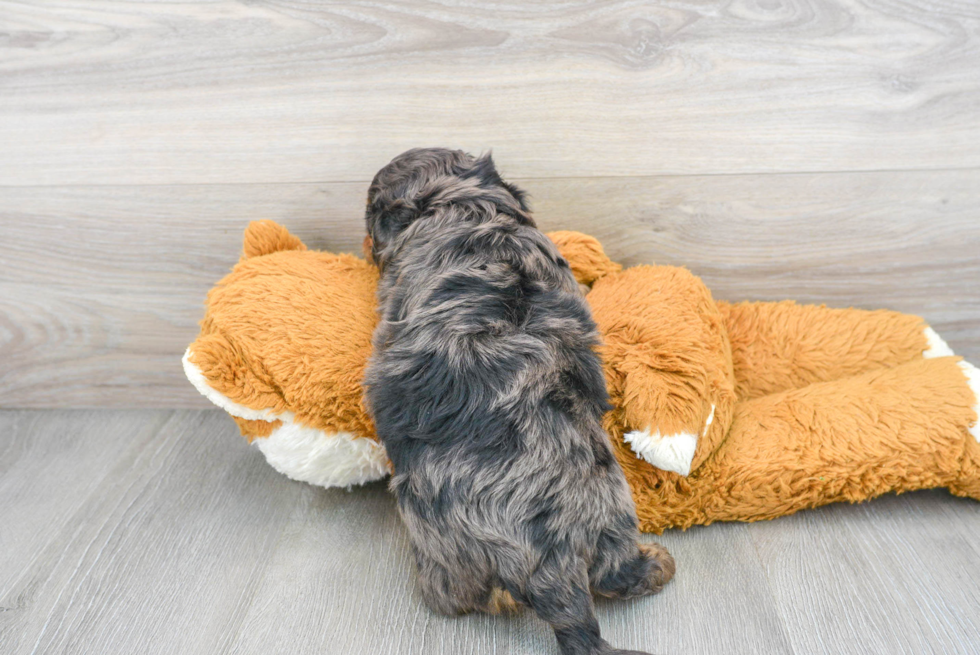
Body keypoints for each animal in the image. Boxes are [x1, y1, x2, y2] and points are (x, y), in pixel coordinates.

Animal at [364, 149, 676, 655]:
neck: (461, 207)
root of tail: (553, 572)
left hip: (443, 543)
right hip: (610, 511)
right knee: (616, 574)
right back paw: (656, 564)